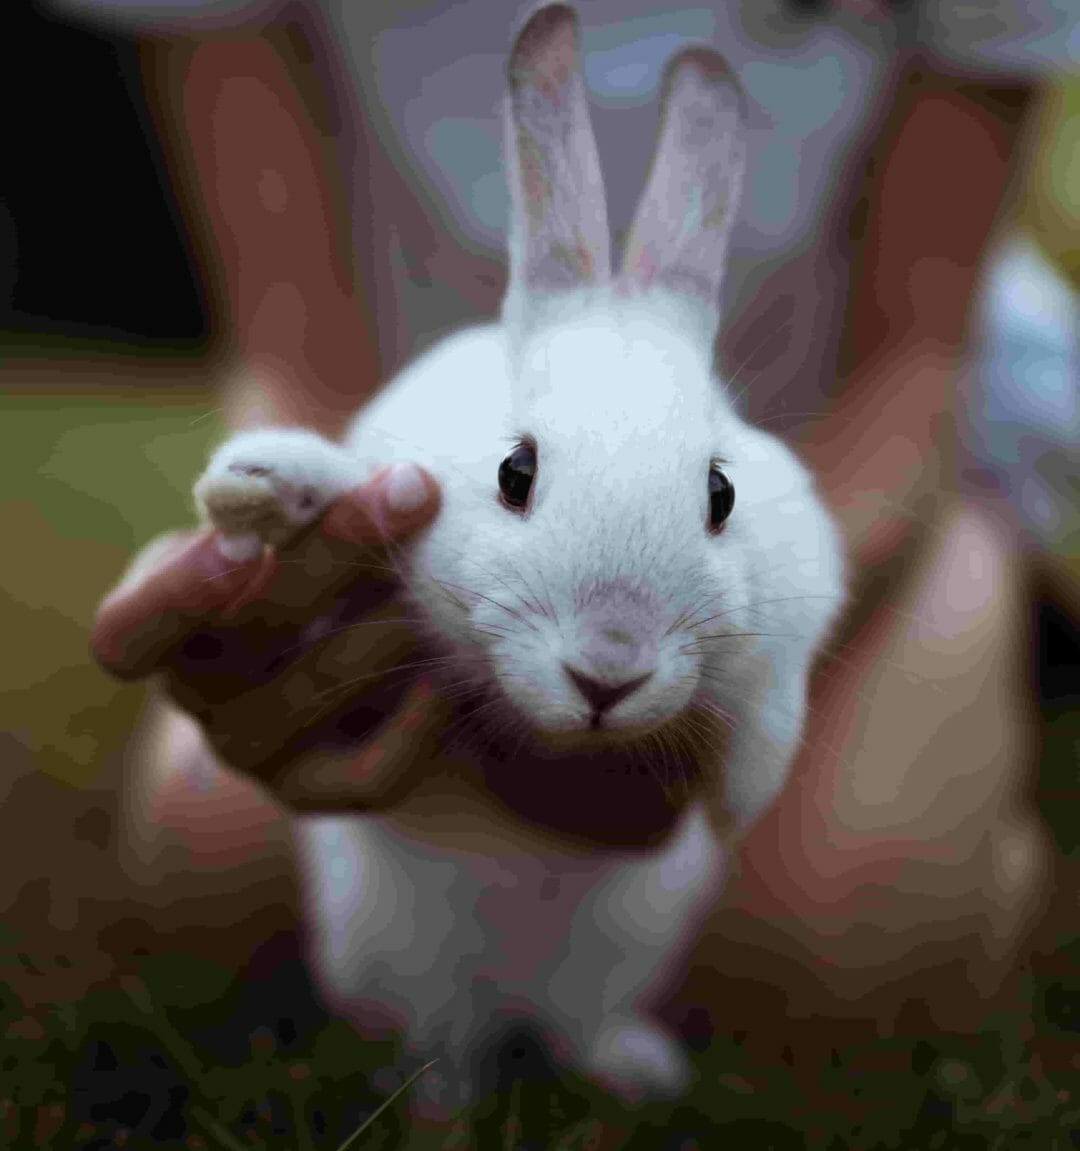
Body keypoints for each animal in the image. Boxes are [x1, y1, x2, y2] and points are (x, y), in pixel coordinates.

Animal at [191, 2, 845, 1109]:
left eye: (719, 494)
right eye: (514, 471)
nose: (608, 669)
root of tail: (512, 1007)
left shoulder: (803, 588)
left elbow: (777, 697)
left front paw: (742, 796)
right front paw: (260, 483)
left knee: (577, 1028)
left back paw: (636, 1071)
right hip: (404, 963)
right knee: (441, 1042)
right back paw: (443, 1102)